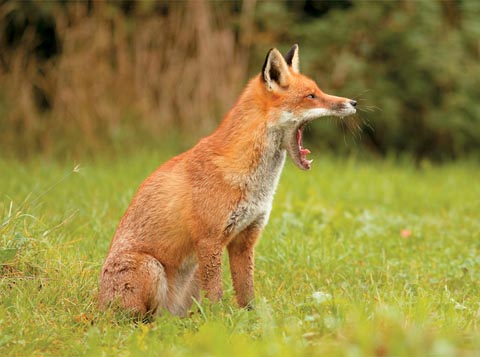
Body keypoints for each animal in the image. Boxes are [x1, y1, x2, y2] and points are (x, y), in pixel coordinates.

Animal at [98, 45, 356, 318]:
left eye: (318, 90)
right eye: (311, 96)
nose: (353, 103)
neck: (255, 183)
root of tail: (98, 305)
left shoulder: (245, 239)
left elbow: (246, 291)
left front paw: (252, 320)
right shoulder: (209, 240)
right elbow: (216, 296)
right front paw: (219, 322)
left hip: (190, 279)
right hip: (151, 268)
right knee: (139, 319)